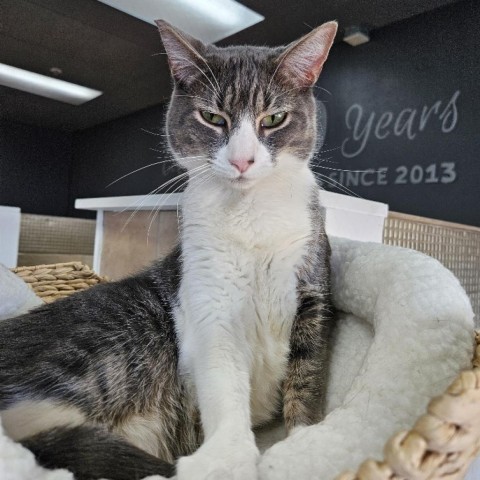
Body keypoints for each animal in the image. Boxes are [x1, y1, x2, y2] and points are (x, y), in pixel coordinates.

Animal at [0, 19, 338, 480]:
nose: (243, 160)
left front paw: (303, 444)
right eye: (212, 117)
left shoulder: (313, 290)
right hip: (117, 337)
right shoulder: (209, 301)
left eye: (274, 118)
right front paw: (226, 458)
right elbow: (223, 380)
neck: (248, 212)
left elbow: (307, 375)